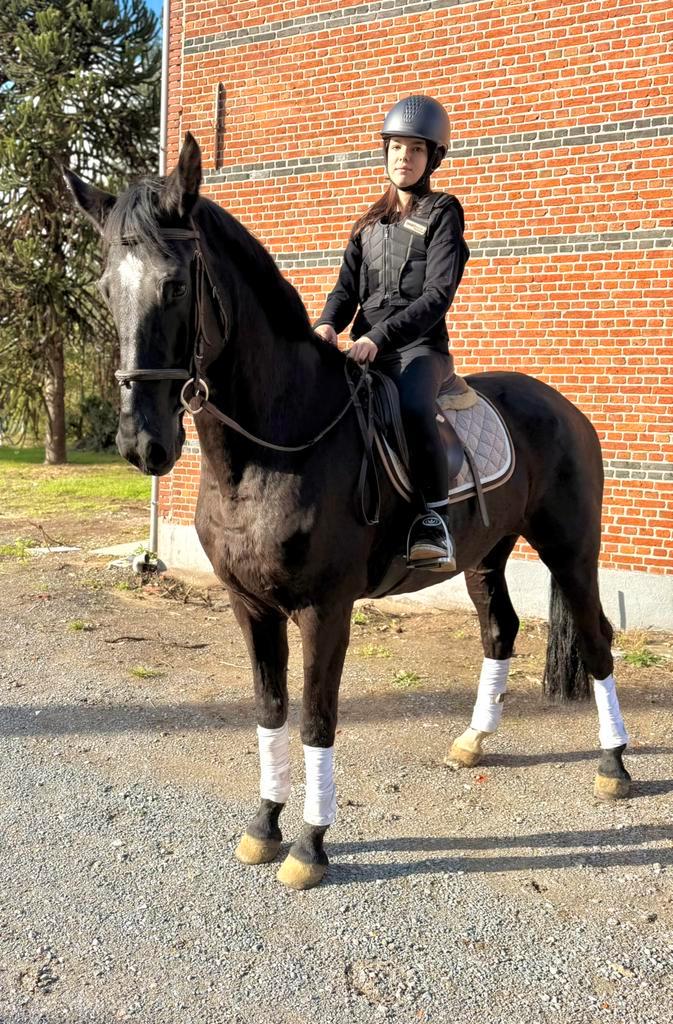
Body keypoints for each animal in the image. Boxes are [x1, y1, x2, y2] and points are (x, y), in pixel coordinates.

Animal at [63, 133, 631, 890]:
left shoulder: (324, 608)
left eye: (176, 285)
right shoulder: (250, 605)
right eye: (105, 289)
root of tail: (564, 406)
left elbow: (317, 719)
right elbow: (270, 710)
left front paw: (308, 845)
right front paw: (263, 827)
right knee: (500, 630)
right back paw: (474, 741)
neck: (273, 446)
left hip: (570, 549)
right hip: (486, 554)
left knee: (597, 641)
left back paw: (613, 765)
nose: (141, 443)